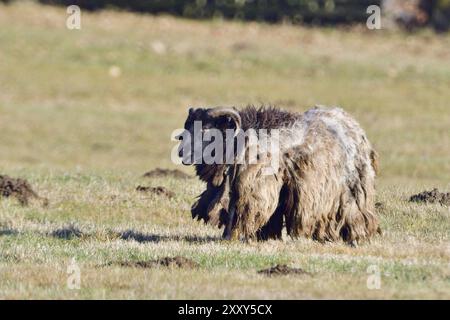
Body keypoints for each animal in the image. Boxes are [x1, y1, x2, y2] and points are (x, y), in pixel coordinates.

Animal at [178, 105, 382, 245]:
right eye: (188, 127)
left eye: (206, 129)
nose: (181, 153)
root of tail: (355, 127)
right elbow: (233, 208)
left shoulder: (255, 187)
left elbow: (240, 210)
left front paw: (231, 237)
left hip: (353, 188)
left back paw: (355, 237)